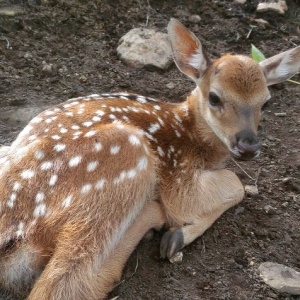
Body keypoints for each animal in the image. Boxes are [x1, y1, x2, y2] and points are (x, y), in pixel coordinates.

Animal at [0, 18, 298, 298]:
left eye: (266, 102)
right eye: (215, 97)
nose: (248, 146)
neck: (192, 137)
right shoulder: (178, 176)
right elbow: (232, 185)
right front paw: (177, 234)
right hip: (124, 157)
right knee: (65, 285)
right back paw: (152, 219)